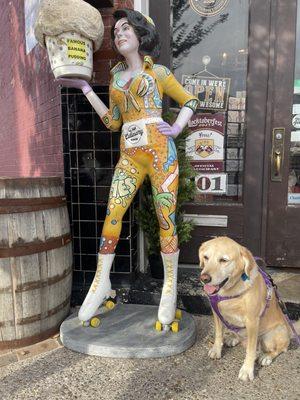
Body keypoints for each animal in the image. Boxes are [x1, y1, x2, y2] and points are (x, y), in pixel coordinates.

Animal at [198, 236, 298, 382]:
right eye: (206, 257)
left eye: (223, 260)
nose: (204, 278)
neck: (230, 292)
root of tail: (289, 331)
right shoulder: (216, 313)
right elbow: (218, 334)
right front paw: (216, 350)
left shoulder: (252, 321)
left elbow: (251, 350)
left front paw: (247, 370)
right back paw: (233, 338)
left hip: (270, 336)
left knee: (280, 349)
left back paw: (266, 357)